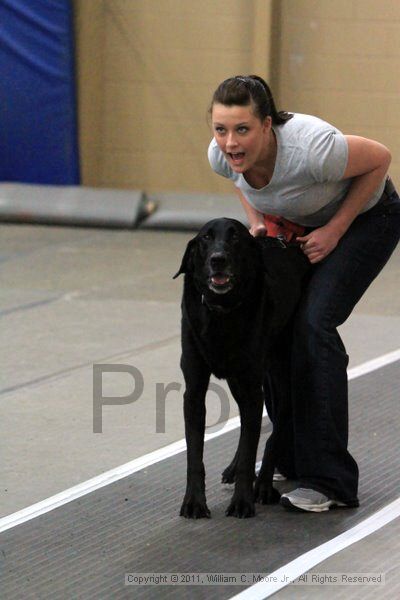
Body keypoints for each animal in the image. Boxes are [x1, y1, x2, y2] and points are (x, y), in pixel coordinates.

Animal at [174, 218, 310, 516]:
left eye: (235, 238)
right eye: (205, 238)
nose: (218, 259)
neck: (222, 311)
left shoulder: (251, 387)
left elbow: (251, 447)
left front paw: (243, 501)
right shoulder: (194, 391)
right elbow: (195, 454)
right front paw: (194, 502)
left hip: (280, 373)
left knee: (274, 430)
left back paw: (264, 485)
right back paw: (234, 469)